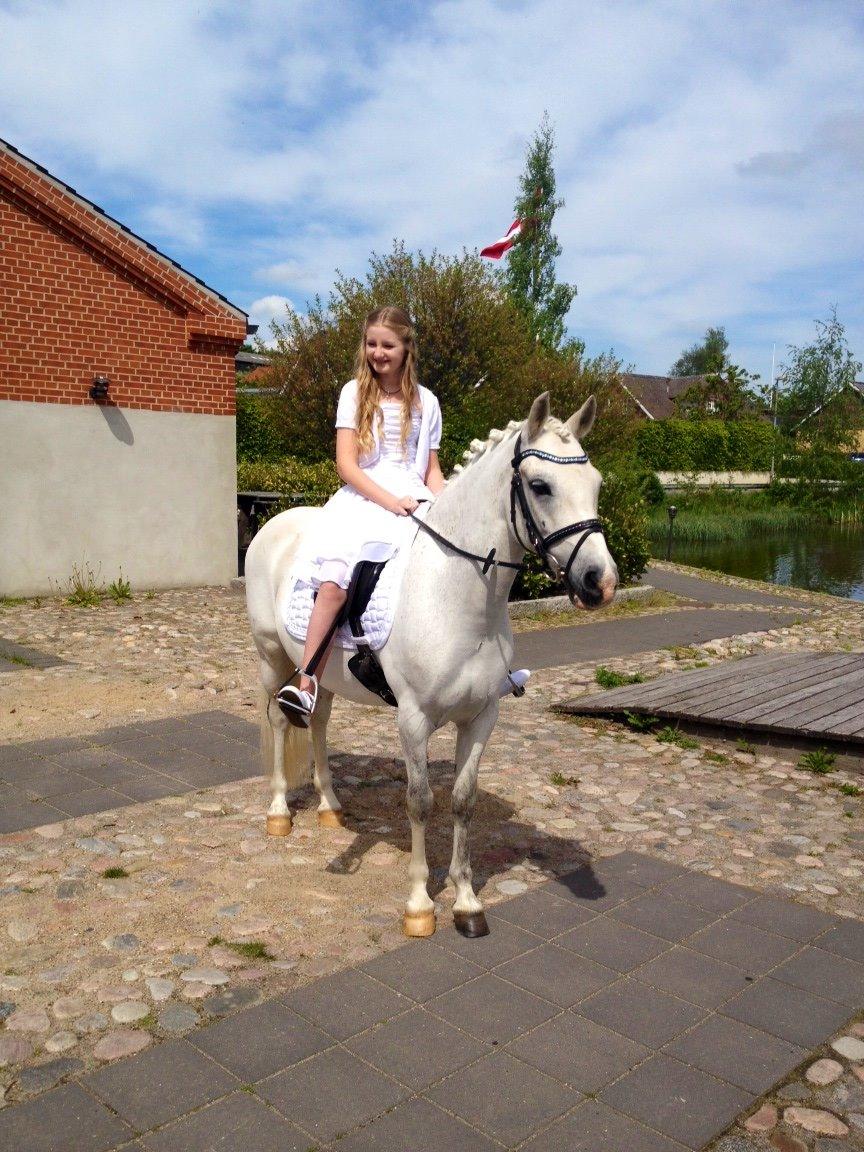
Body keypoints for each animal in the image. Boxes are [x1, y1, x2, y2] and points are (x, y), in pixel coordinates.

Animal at [244, 392, 619, 939]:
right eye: (540, 486)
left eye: (596, 484)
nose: (600, 582)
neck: (458, 596)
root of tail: (275, 522)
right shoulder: (413, 720)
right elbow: (420, 802)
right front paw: (420, 904)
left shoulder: (482, 717)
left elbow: (463, 800)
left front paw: (466, 903)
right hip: (271, 657)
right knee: (277, 719)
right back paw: (277, 813)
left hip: (323, 675)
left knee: (318, 723)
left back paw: (331, 808)